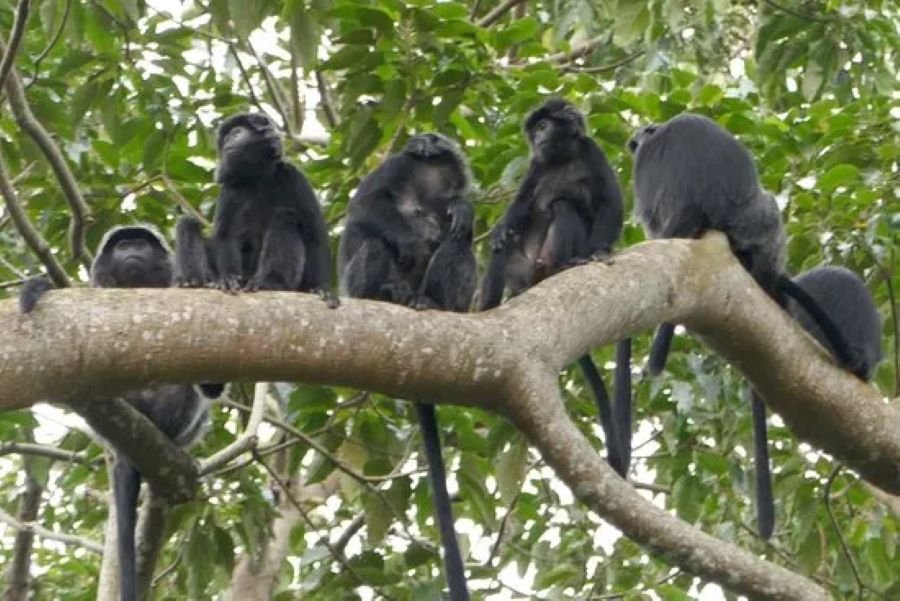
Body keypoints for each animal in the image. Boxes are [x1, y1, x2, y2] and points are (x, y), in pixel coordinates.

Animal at [339, 132, 475, 601]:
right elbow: (365, 206)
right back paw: (388, 292)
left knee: (460, 244)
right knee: (375, 244)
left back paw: (429, 300)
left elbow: (460, 219)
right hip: (358, 282)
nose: (426, 140)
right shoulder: (394, 168)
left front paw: (459, 211)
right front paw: (414, 236)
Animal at [478, 98, 632, 477]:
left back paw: (566, 263)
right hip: (518, 268)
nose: (537, 136)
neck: (561, 158)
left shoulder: (591, 151)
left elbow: (610, 202)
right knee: (506, 243)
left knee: (563, 206)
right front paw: (501, 228)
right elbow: (517, 211)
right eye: (536, 129)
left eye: (545, 125)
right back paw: (491, 304)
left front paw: (599, 252)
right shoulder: (536, 166)